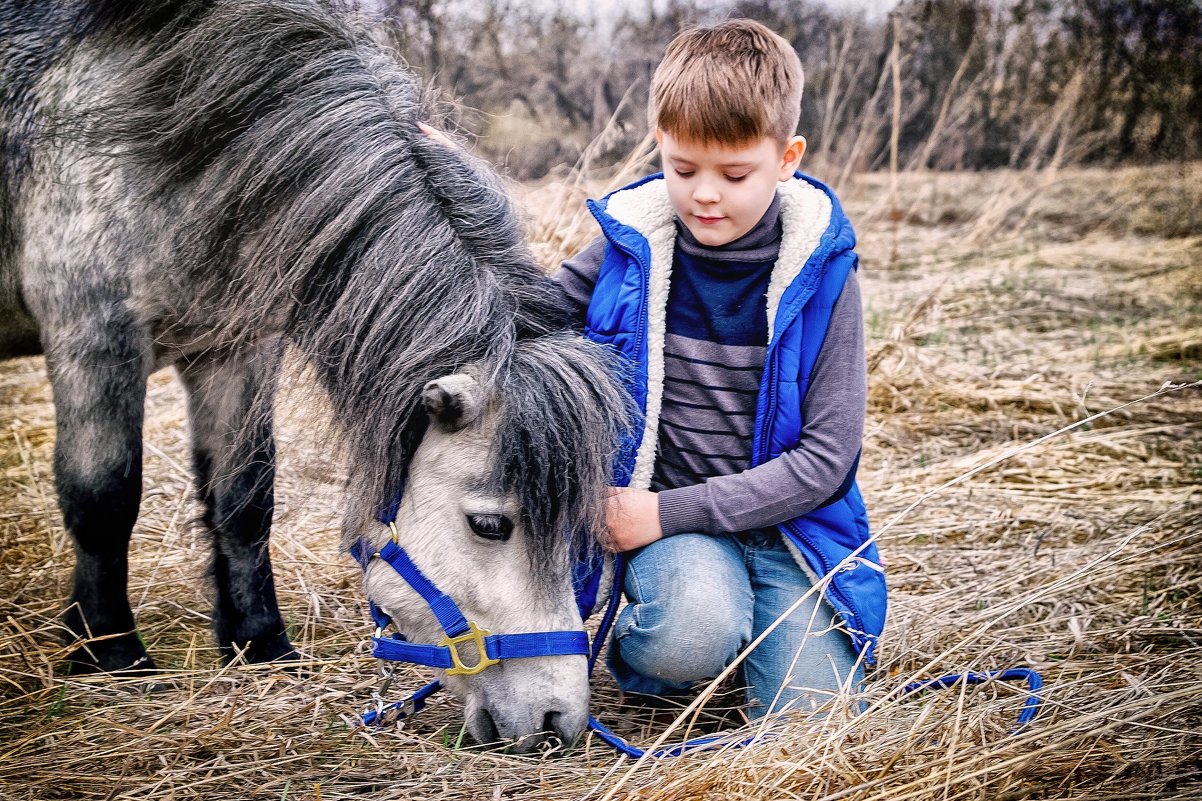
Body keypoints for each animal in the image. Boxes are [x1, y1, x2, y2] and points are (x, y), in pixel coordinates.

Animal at [2, 0, 629, 750]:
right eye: (489, 525)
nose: (558, 720)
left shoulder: (237, 348)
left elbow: (246, 499)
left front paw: (261, 643)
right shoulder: (93, 338)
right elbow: (103, 498)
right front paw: (110, 652)